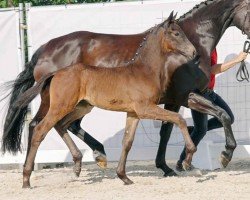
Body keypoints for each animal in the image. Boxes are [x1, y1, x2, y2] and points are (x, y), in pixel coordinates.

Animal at [16, 14, 197, 188]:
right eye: (176, 33)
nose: (194, 52)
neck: (144, 70)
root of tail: (56, 73)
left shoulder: (133, 113)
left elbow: (127, 142)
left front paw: (124, 177)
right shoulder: (145, 108)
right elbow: (179, 119)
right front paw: (188, 160)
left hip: (82, 107)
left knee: (61, 125)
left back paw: (78, 165)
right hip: (60, 106)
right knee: (40, 129)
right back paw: (26, 179)